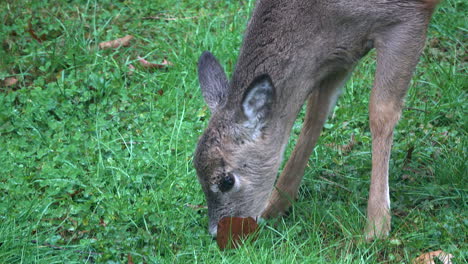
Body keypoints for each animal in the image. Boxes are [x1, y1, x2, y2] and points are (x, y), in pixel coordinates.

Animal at [193, 0, 438, 240]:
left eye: (227, 181)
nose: (217, 232)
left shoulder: (409, 17)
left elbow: (381, 112)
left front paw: (376, 226)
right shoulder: (342, 50)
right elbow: (315, 113)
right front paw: (274, 206)